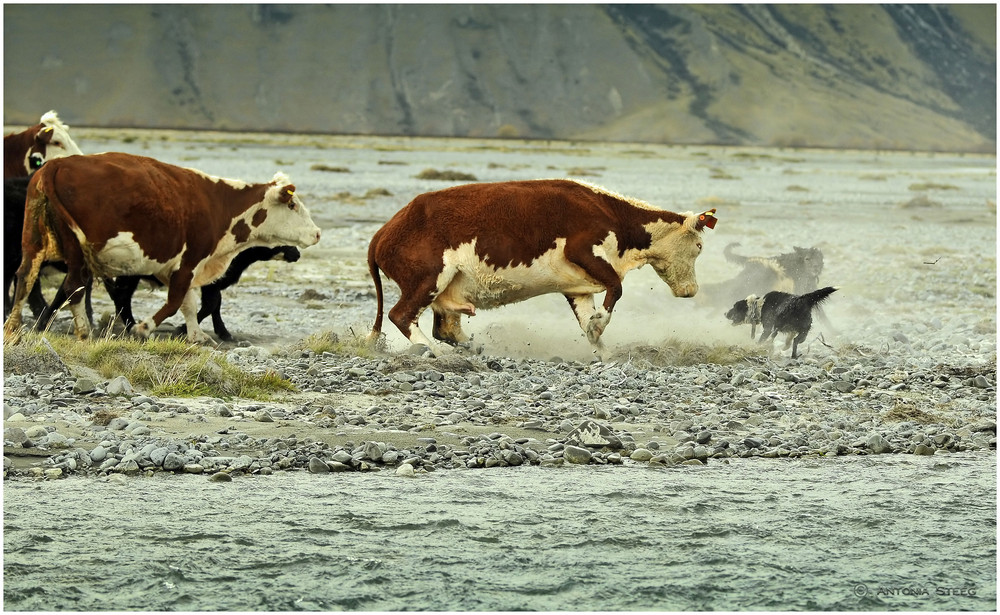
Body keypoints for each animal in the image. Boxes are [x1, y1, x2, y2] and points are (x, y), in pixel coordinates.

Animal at [3, 149, 322, 342]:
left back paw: (12, 329)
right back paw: (84, 333)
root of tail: (56, 165)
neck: (217, 204)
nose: (317, 233)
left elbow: (189, 305)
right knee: (74, 287)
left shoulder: (181, 268)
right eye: (292, 205)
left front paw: (196, 336)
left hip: (33, 244)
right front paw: (144, 328)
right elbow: (175, 303)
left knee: (25, 279)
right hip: (76, 252)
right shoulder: (190, 261)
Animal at [368, 178, 720, 352]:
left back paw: (471, 347)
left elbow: (589, 322)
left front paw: (601, 347)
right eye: (699, 247)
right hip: (427, 277)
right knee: (402, 316)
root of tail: (384, 231)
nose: (691, 291)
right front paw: (599, 325)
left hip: (447, 286)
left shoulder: (577, 286)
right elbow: (616, 288)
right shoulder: (583, 249)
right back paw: (432, 352)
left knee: (445, 327)